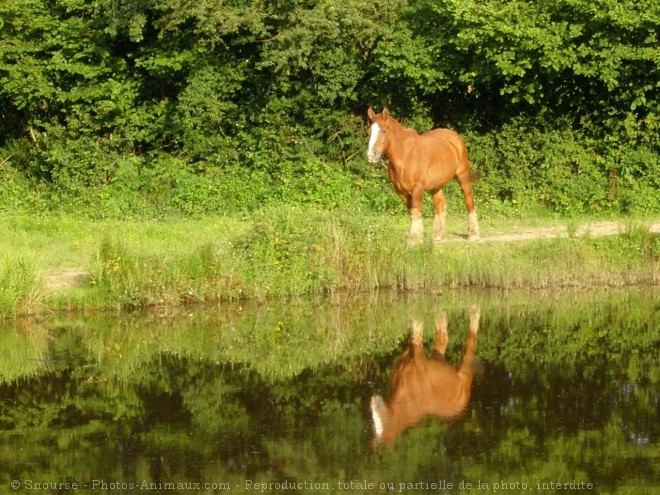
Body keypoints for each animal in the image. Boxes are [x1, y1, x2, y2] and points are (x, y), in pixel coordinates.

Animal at [366, 107, 480, 244]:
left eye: (383, 130)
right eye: (369, 131)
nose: (371, 156)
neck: (405, 155)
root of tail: (454, 136)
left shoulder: (418, 188)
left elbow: (415, 210)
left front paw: (414, 239)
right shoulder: (401, 191)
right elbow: (412, 212)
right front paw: (417, 236)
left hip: (463, 176)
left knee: (469, 202)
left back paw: (473, 234)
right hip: (436, 186)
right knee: (440, 206)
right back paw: (437, 235)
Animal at [372, 306, 480, 450]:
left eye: (383, 424)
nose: (373, 402)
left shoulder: (420, 360)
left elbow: (417, 336)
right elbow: (414, 337)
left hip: (465, 372)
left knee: (469, 345)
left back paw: (474, 315)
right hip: (438, 358)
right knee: (442, 336)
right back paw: (442, 317)